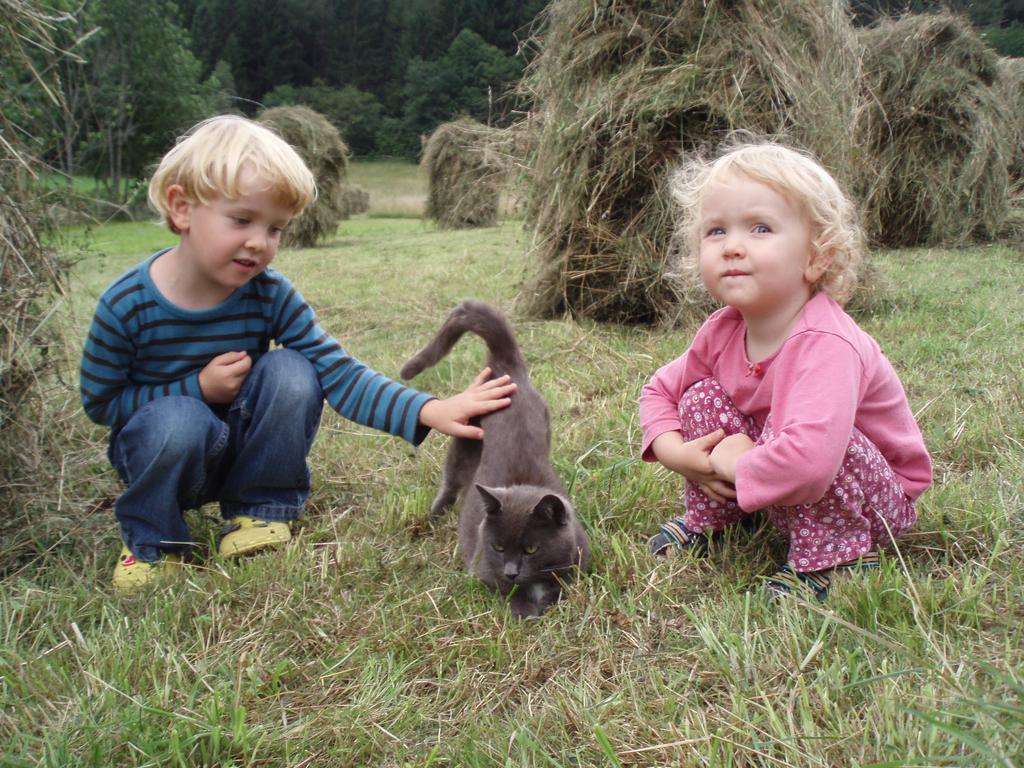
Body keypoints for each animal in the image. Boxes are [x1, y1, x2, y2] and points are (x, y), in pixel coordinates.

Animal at [401, 301, 593, 618]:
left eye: (531, 549)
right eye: (498, 548)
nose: (511, 572)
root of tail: (507, 369)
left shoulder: (577, 563)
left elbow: (561, 586)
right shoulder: (483, 570)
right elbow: (505, 592)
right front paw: (525, 611)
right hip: (465, 434)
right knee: (451, 481)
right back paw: (434, 515)